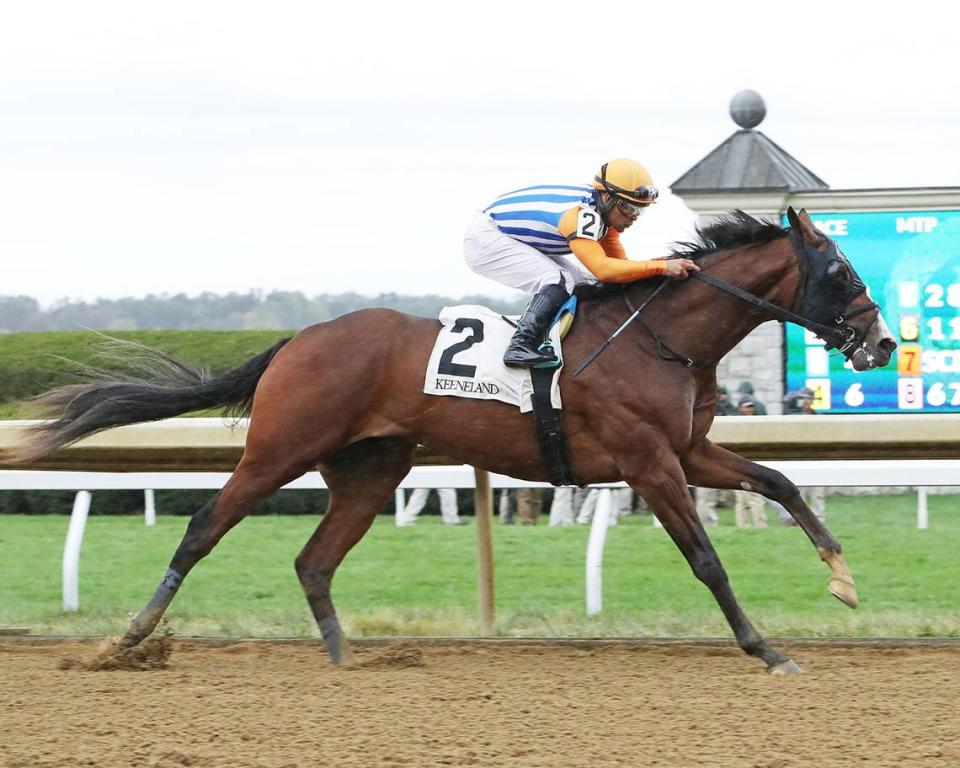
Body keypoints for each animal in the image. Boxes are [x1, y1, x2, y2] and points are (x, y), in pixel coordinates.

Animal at [11, 207, 900, 676]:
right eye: (843, 272)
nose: (884, 343)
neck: (664, 339)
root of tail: (297, 340)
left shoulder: (687, 453)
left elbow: (781, 482)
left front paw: (844, 580)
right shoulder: (650, 463)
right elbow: (707, 559)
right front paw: (765, 648)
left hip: (371, 470)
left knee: (314, 559)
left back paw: (343, 655)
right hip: (278, 451)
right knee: (203, 527)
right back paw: (129, 638)